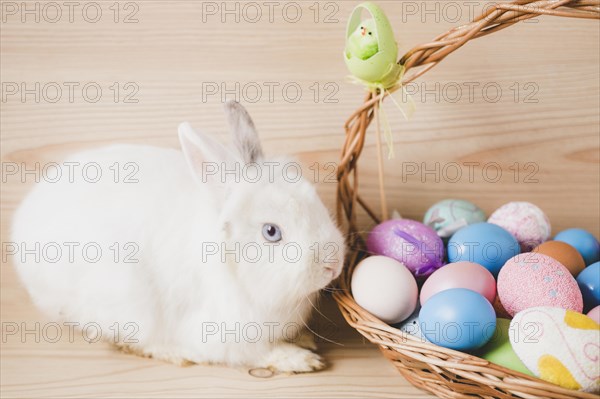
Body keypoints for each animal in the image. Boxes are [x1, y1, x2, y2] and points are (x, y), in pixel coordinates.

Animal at [11, 101, 344, 374]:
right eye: (271, 232)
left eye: (314, 197)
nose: (334, 264)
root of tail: (22, 226)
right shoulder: (223, 333)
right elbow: (256, 354)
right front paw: (301, 359)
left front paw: (305, 338)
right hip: (127, 303)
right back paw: (179, 354)